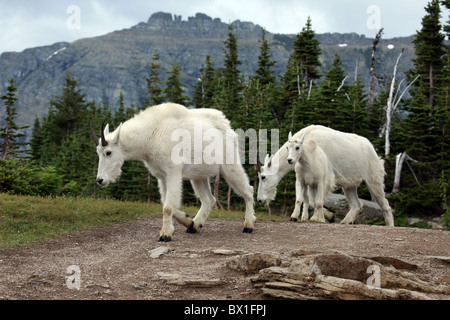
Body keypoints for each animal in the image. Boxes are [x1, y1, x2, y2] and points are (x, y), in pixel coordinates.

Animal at [90, 104, 256, 241]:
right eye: (97, 153)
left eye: (108, 152)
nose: (100, 180)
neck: (151, 136)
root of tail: (227, 126)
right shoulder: (161, 176)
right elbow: (167, 203)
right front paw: (188, 221)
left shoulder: (173, 172)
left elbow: (168, 207)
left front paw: (165, 234)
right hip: (198, 175)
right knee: (209, 199)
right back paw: (196, 225)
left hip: (230, 164)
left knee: (248, 190)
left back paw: (248, 224)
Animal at [256, 124, 394, 226]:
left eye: (263, 177)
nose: (260, 200)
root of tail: (373, 150)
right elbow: (308, 200)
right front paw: (313, 217)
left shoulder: (325, 178)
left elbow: (317, 200)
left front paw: (323, 217)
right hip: (349, 185)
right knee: (357, 204)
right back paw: (345, 221)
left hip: (373, 178)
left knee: (385, 204)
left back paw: (390, 225)